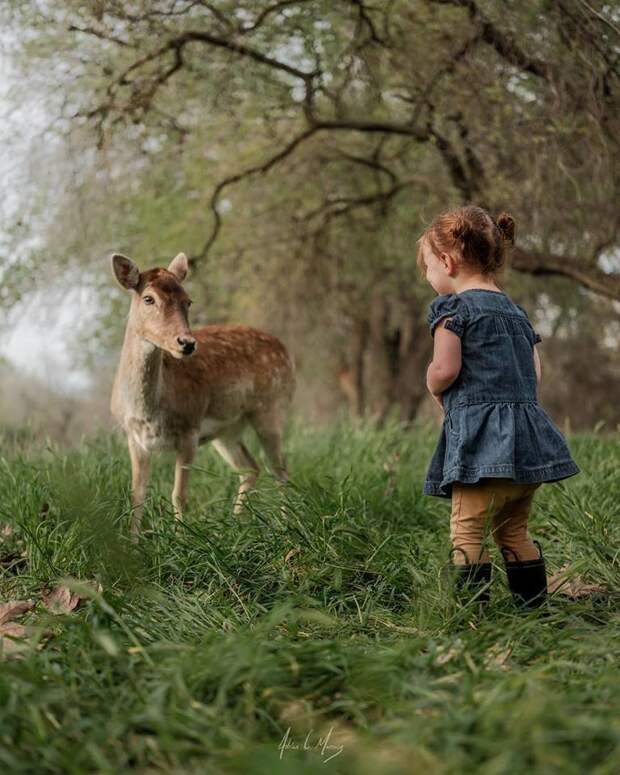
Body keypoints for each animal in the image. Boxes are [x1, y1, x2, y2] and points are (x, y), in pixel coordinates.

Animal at [110, 252, 294, 536]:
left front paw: (181, 539)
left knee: (280, 470)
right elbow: (136, 495)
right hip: (227, 431)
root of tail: (287, 353)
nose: (186, 343)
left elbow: (179, 495)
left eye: (188, 300)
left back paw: (287, 527)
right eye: (148, 298)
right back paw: (236, 524)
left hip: (272, 408)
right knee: (251, 467)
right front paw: (133, 541)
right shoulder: (134, 437)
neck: (149, 411)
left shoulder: (189, 430)